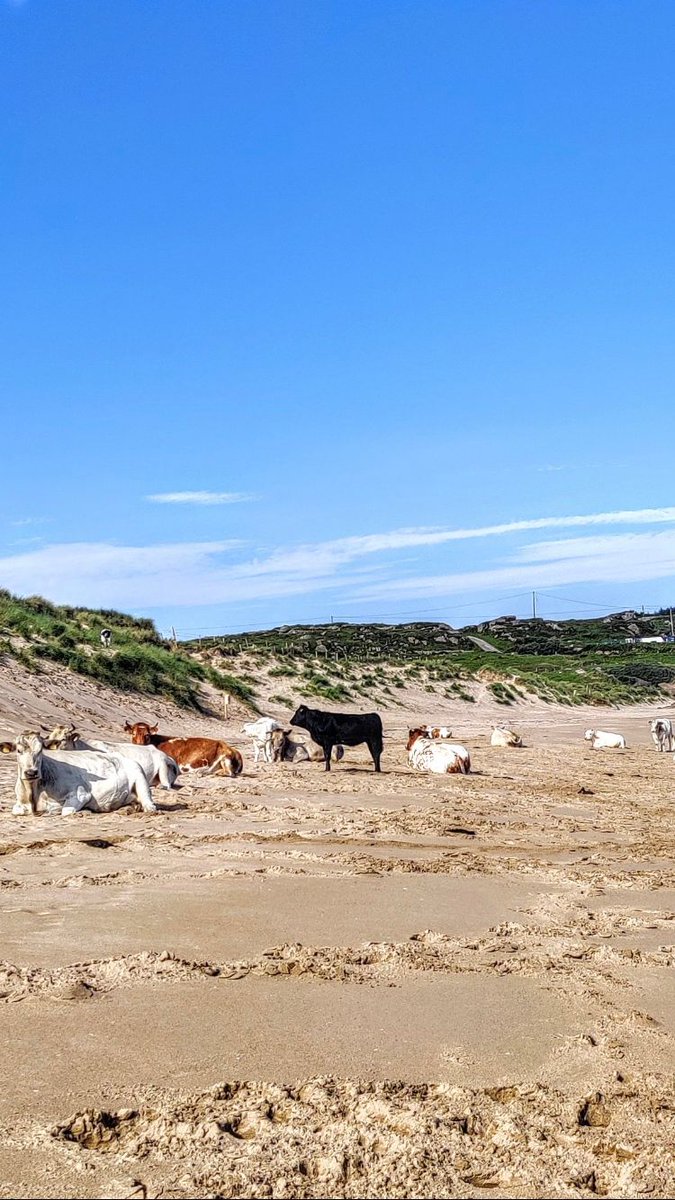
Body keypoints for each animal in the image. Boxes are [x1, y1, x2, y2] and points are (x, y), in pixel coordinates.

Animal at [0, 731, 157, 816]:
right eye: (18, 750)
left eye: (40, 750)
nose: (31, 772)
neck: (33, 792)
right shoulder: (19, 804)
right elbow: (17, 810)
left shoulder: (81, 793)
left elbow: (64, 810)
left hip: (140, 777)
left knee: (149, 804)